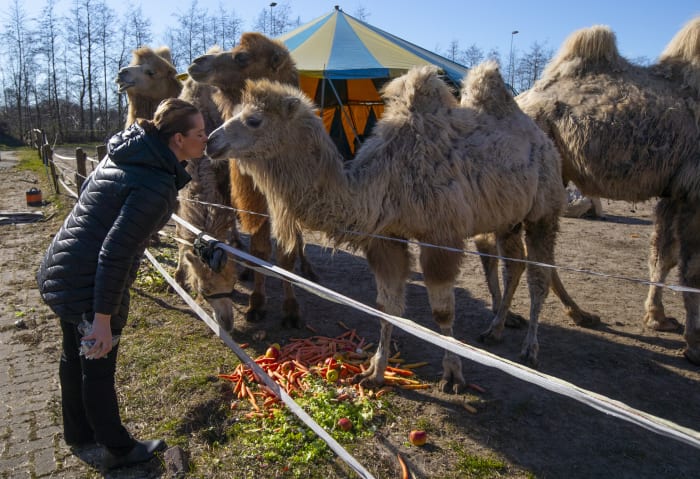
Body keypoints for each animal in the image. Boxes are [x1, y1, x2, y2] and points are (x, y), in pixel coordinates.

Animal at [187, 31, 316, 328]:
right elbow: (259, 253)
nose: (197, 62)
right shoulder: (253, 200)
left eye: (242, 57)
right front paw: (256, 304)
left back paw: (307, 268)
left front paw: (291, 309)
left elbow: (285, 257)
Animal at [205, 63, 568, 394]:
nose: (210, 141)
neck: (382, 183)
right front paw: (374, 372)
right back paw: (495, 328)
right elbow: (386, 308)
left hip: (545, 209)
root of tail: (542, 140)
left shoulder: (441, 237)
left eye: (254, 120)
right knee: (515, 265)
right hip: (509, 219)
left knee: (539, 276)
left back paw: (530, 348)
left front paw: (453, 374)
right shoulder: (386, 237)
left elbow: (442, 312)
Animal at [516, 16, 700, 366]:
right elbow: (691, 269)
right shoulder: (694, 188)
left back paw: (577, 314)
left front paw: (658, 318)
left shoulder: (673, 191)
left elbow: (663, 255)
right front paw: (694, 346)